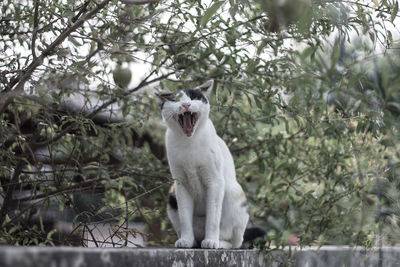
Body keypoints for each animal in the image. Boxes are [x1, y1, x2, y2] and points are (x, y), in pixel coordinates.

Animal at [157, 80, 248, 249]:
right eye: (176, 99)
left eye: (193, 97)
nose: (186, 104)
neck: (189, 143)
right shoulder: (181, 184)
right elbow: (185, 218)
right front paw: (186, 240)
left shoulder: (215, 182)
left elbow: (212, 218)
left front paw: (211, 240)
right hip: (172, 198)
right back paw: (192, 241)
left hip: (232, 194)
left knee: (234, 241)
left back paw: (218, 243)